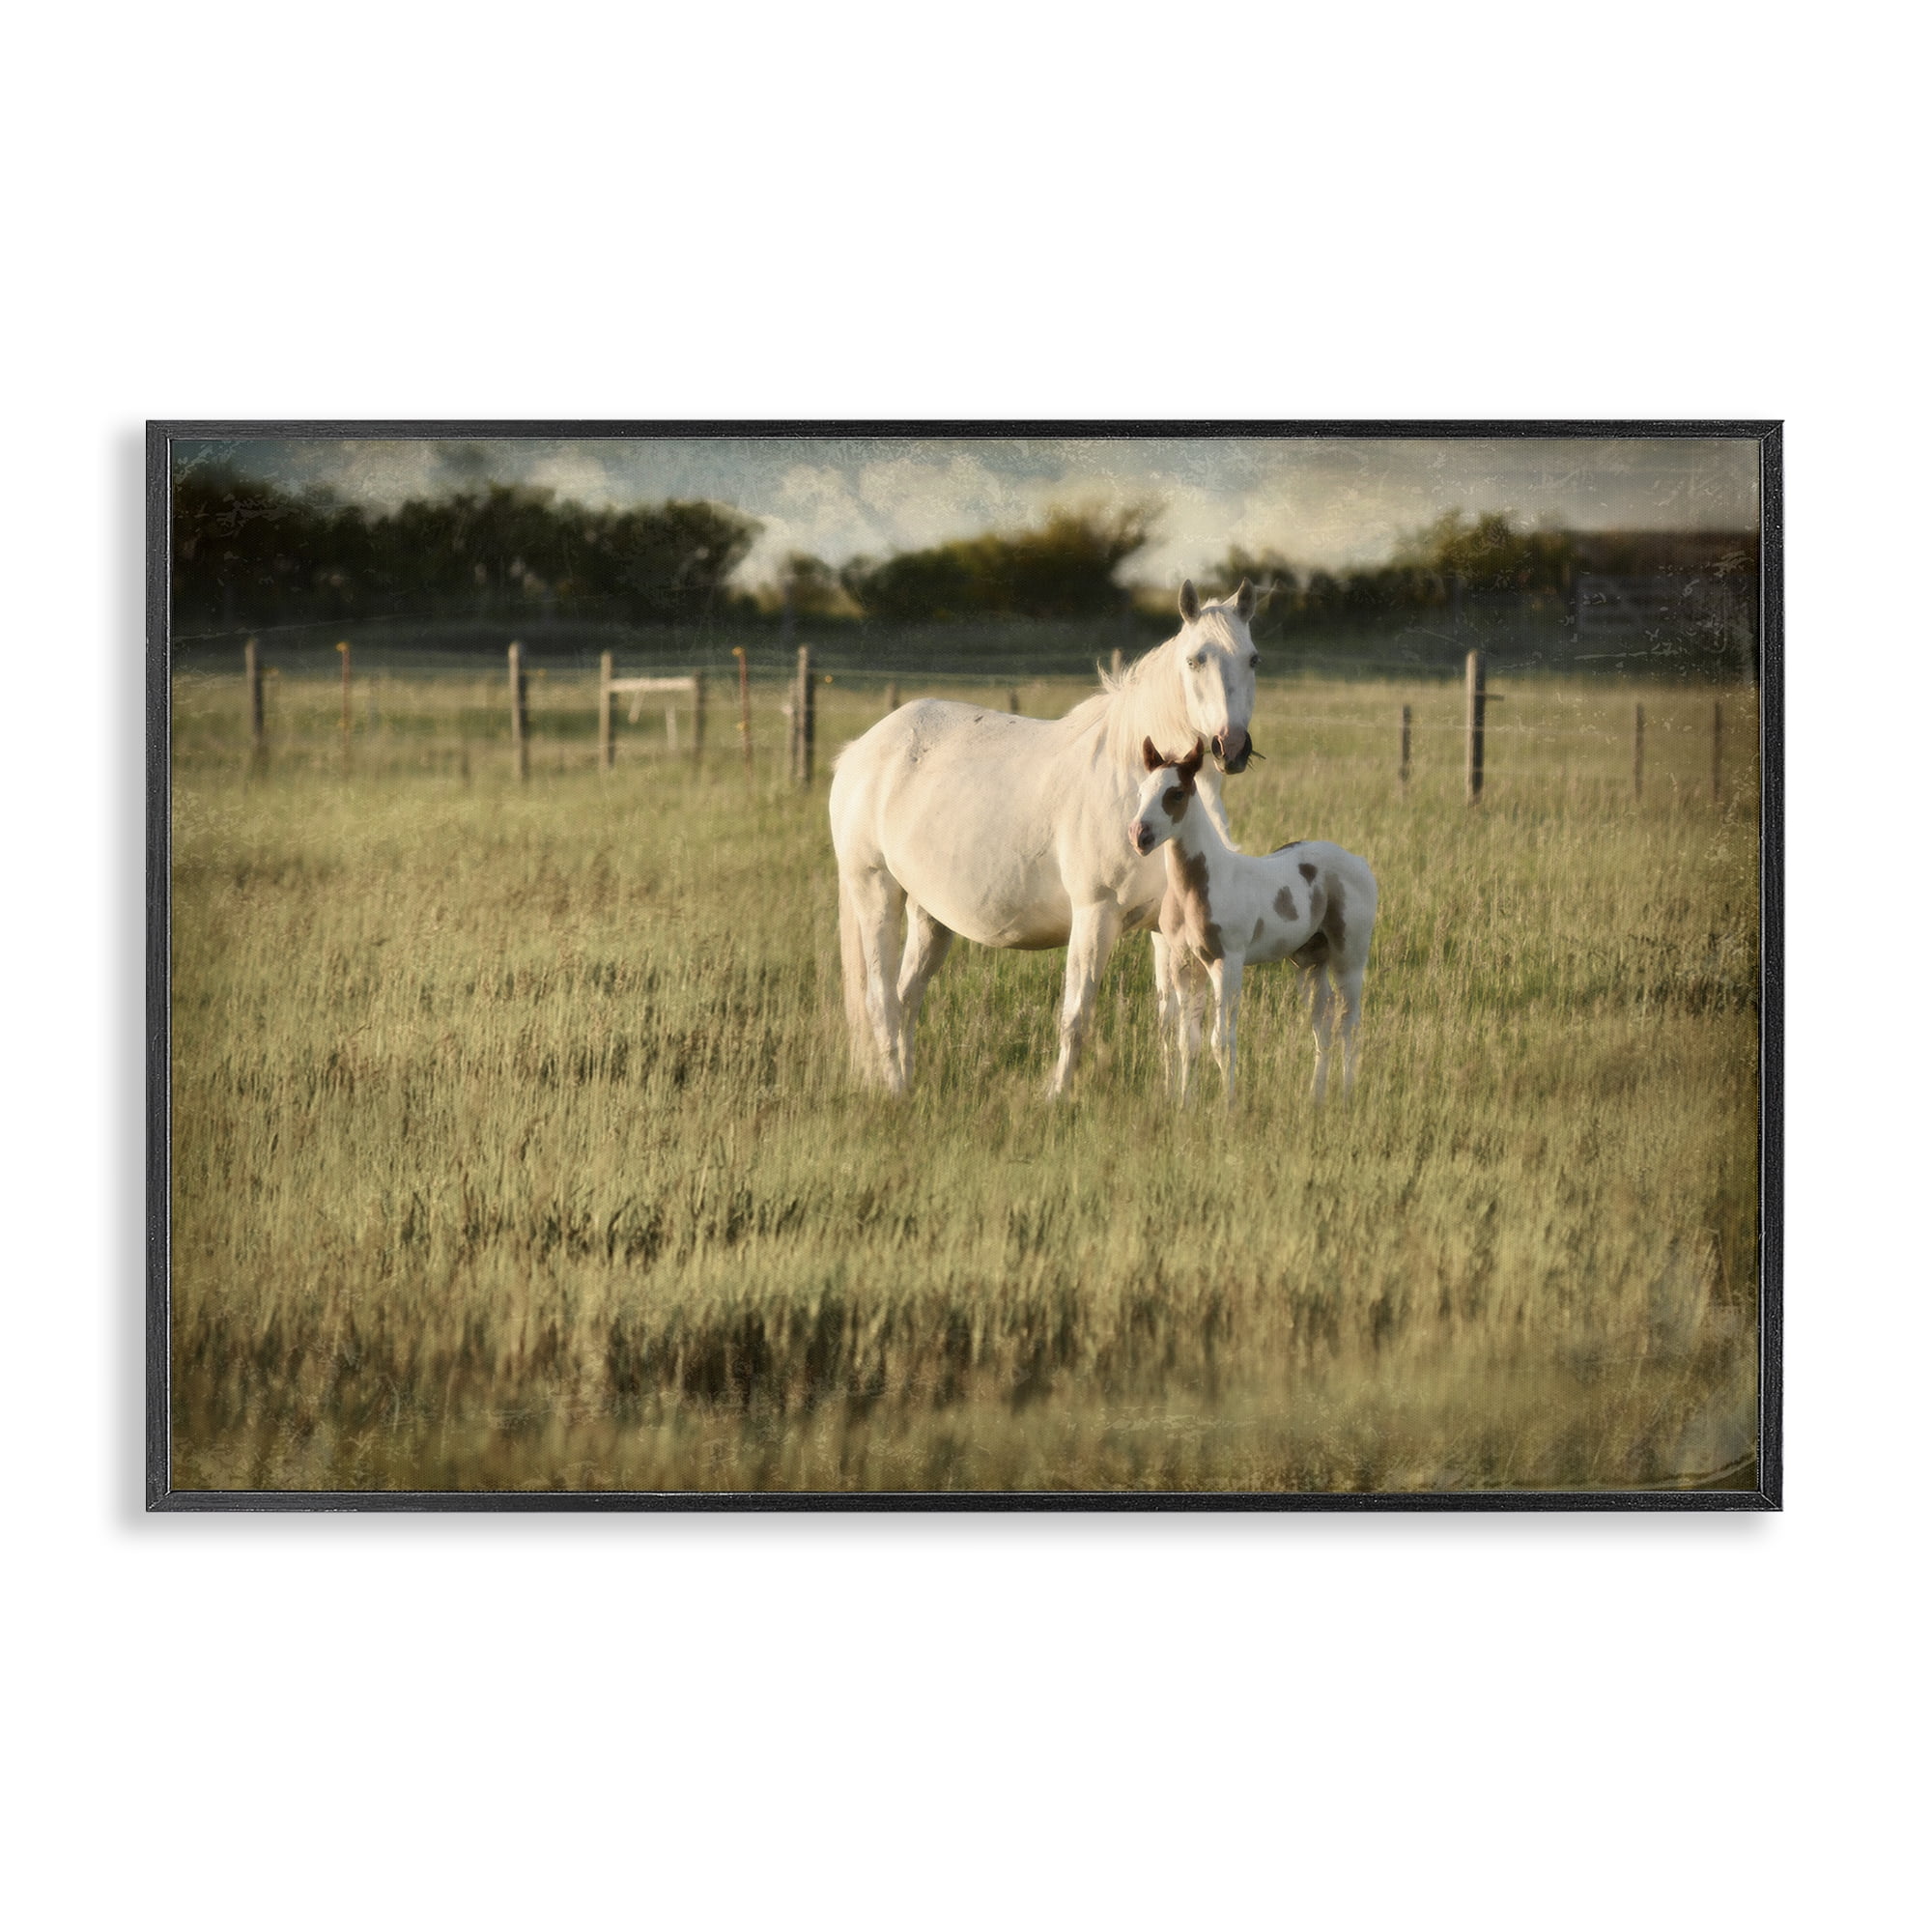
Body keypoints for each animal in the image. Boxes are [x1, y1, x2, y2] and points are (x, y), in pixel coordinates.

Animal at [830, 579, 1261, 1098]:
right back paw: (895, 1090)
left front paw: (1173, 1097)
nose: (1230, 748)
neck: (1131, 783)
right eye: (1196, 660)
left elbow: (1175, 1022)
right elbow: (1076, 1016)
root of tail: (860, 751)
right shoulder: (1094, 914)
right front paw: (1056, 1096)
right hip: (876, 893)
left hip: (929, 915)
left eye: (1253, 659)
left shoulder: (1165, 928)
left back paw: (909, 1084)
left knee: (907, 998)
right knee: (881, 1000)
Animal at [1128, 739, 1378, 1108]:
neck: (1197, 887)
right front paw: (1186, 1104)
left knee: (1349, 1022)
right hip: (1310, 961)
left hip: (1350, 957)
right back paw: (1315, 1097)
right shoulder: (1184, 964)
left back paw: (1346, 1095)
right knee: (1323, 1020)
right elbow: (1188, 1041)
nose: (1139, 836)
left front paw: (1227, 1105)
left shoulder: (1227, 962)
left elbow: (1221, 1040)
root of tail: (1359, 862)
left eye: (1176, 793)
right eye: (1142, 790)